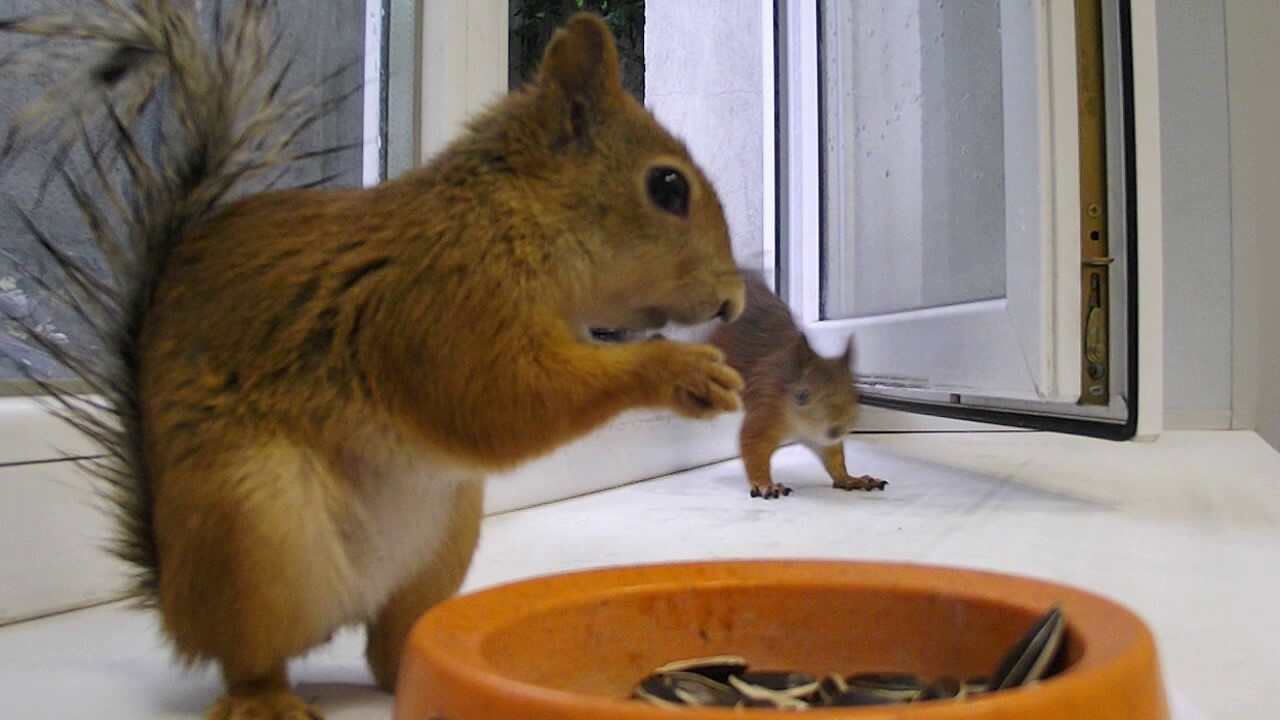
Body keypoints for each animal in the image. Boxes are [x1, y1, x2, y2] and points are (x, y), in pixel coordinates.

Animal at [711, 270, 890, 499]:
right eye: (802, 396)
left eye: (858, 395)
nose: (835, 430)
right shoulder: (765, 407)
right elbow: (752, 445)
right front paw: (765, 484)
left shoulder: (821, 440)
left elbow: (834, 457)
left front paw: (851, 479)